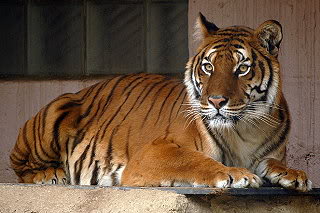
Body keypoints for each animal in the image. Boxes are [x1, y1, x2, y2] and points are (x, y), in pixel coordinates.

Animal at [10, 12, 312, 191]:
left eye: (242, 68)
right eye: (208, 67)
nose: (216, 101)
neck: (247, 128)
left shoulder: (270, 153)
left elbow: (273, 163)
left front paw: (294, 174)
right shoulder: (152, 153)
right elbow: (193, 160)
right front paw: (237, 175)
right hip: (55, 113)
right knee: (19, 165)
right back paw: (49, 174)